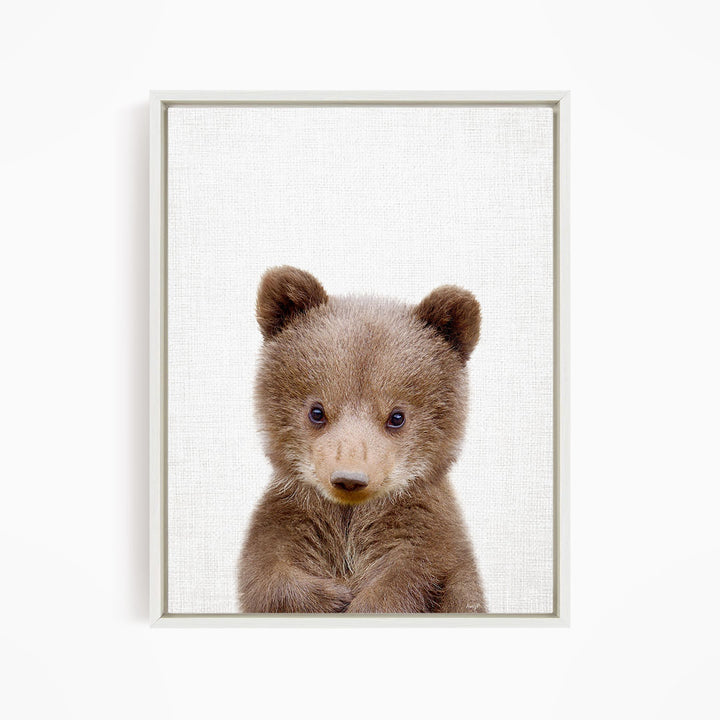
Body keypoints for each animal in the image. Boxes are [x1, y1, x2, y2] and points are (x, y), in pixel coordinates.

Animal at [238, 266, 486, 613]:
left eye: (397, 416)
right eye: (317, 411)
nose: (349, 478)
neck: (349, 518)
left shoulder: (424, 535)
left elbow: (411, 577)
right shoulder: (291, 518)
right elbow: (267, 572)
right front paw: (333, 597)